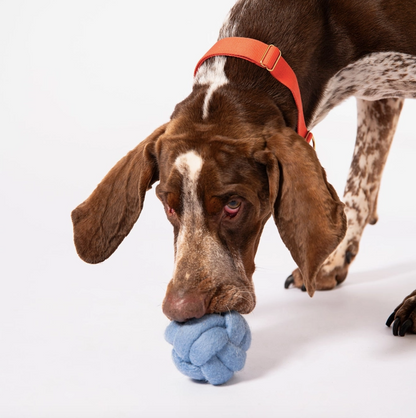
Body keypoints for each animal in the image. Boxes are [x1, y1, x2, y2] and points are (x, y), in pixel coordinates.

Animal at [71, 0, 416, 336]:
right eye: (169, 206)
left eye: (234, 205)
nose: (181, 310)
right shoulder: (379, 99)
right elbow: (361, 182)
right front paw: (332, 261)